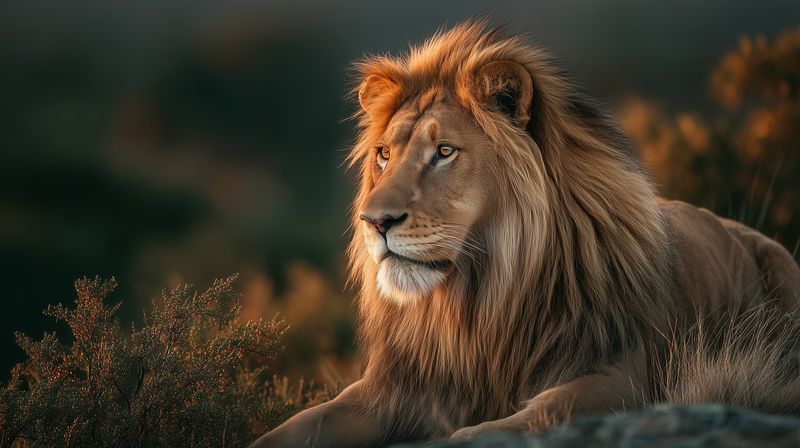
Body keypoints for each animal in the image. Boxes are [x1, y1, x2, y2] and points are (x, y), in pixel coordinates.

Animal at [250, 21, 800, 447]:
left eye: (444, 152)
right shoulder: (393, 387)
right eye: (384, 154)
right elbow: (293, 427)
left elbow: (518, 419)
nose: (374, 222)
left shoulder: (623, 375)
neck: (477, 302)